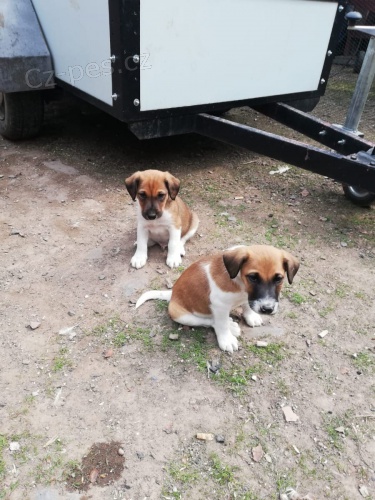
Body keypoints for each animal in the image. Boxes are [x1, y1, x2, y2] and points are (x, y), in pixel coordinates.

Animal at [135, 245, 300, 352]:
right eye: (253, 277)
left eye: (279, 279)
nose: (267, 309)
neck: (239, 282)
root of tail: (172, 293)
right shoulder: (220, 306)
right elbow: (220, 324)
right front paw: (226, 339)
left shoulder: (248, 296)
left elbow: (247, 305)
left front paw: (251, 316)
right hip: (180, 315)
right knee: (210, 322)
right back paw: (231, 326)